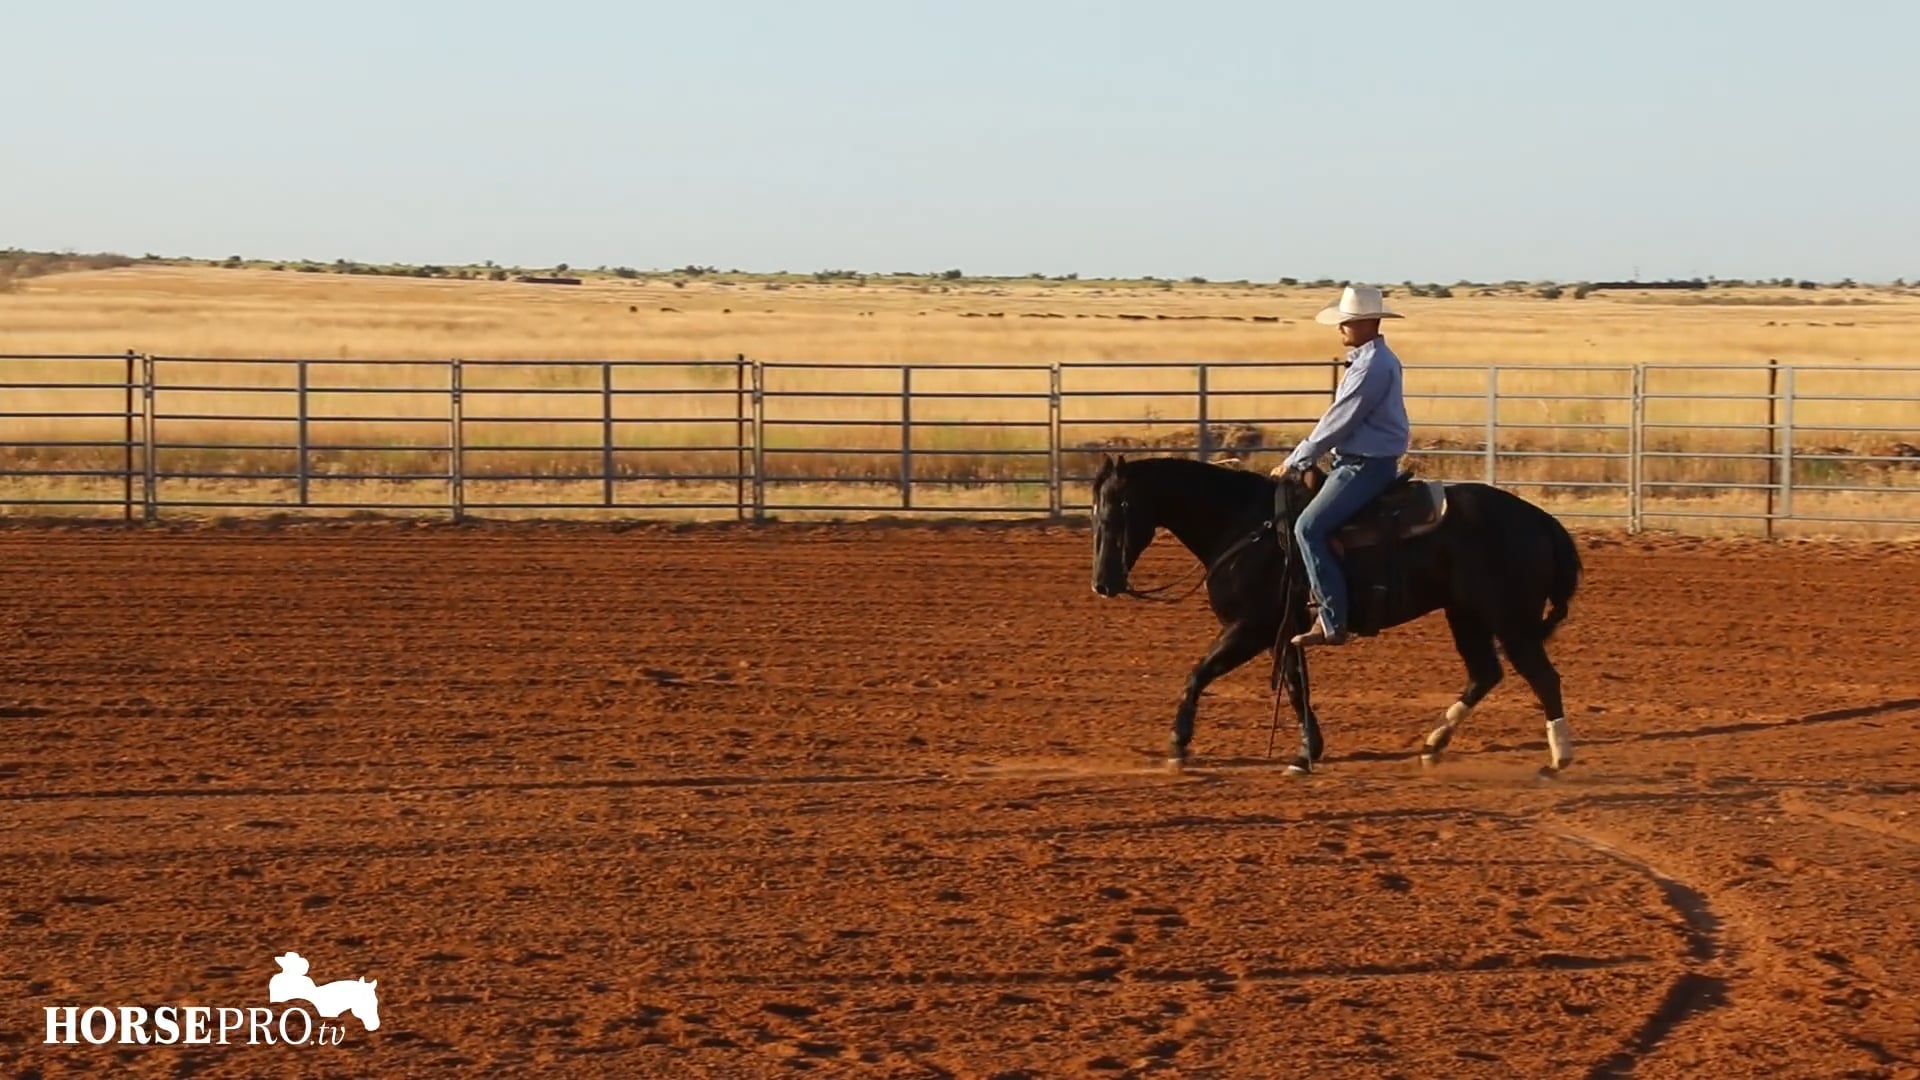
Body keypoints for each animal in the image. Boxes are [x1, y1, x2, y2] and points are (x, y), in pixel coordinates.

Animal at [1087, 452, 1582, 776]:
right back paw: (1433, 743)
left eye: (1118, 510)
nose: (1103, 583)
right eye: (1093, 513)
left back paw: (1558, 759)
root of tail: (1540, 519)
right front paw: (1308, 751)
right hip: (1466, 615)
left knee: (1543, 677)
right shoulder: (1283, 631)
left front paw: (1178, 745)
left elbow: (1199, 674)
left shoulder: (1252, 627)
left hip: (1510, 620)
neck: (1246, 527)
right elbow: (1294, 686)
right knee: (1485, 674)